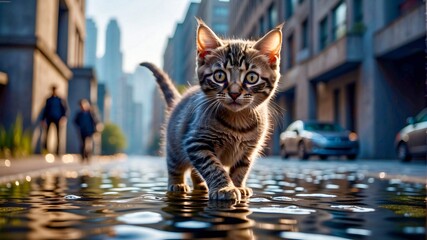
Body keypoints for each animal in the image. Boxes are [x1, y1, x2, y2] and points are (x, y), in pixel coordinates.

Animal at [142, 19, 284, 201]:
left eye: (252, 77)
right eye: (219, 76)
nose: (234, 93)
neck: (238, 122)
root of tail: (179, 100)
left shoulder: (249, 151)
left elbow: (241, 169)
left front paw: (238, 186)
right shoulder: (196, 142)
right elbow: (213, 167)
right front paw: (225, 188)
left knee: (195, 171)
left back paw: (201, 185)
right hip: (174, 143)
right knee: (175, 165)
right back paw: (177, 184)